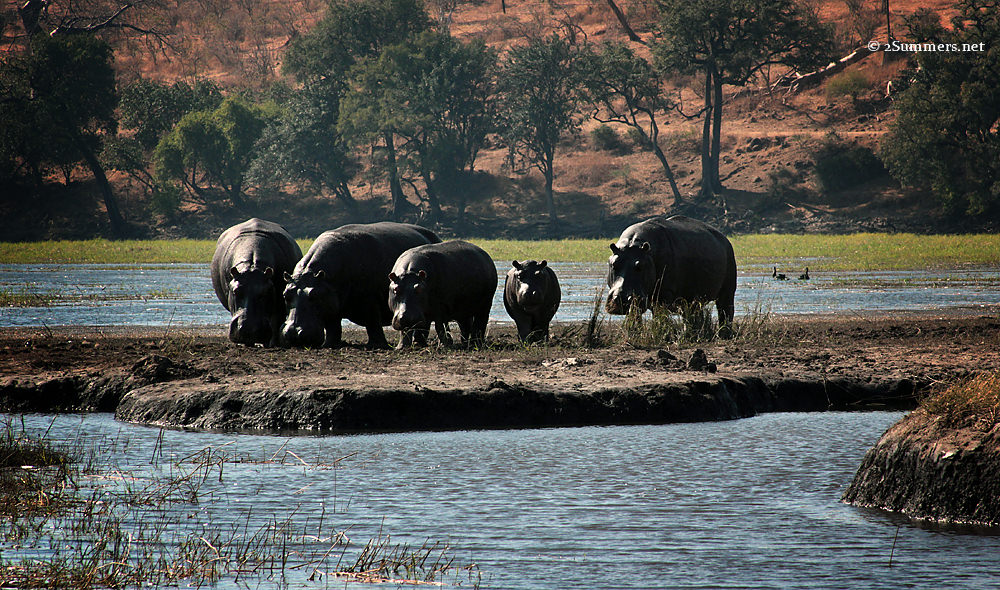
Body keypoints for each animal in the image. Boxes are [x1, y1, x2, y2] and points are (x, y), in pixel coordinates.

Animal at [211, 218, 303, 346]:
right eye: (235, 291)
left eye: (265, 292)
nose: (248, 329)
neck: (251, 266)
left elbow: (275, 322)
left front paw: (273, 344)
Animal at [280, 222, 440, 349]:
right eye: (285, 294)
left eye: (314, 295)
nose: (293, 333)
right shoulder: (332, 305)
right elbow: (333, 327)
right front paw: (329, 345)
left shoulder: (369, 300)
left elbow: (372, 323)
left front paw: (377, 345)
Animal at [605, 215, 737, 329]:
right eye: (613, 264)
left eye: (640, 266)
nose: (621, 298)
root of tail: (725, 239)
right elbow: (634, 318)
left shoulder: (662, 296)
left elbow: (659, 316)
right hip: (692, 298)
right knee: (693, 315)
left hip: (728, 290)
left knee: (725, 310)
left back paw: (724, 333)